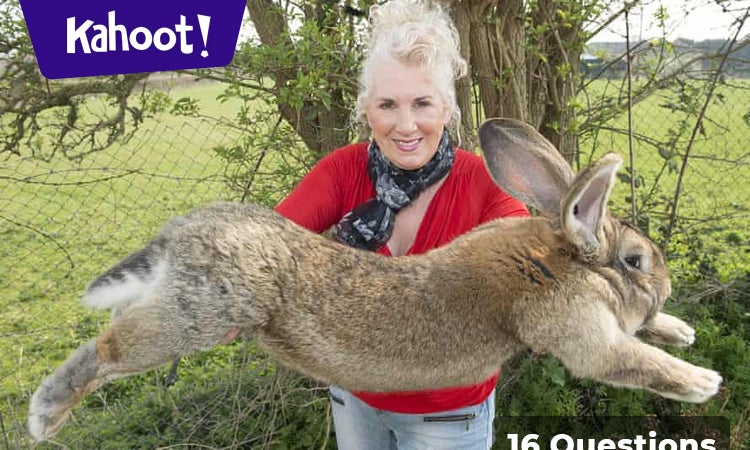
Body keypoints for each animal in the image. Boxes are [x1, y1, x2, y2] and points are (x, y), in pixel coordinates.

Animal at [28, 118, 722, 442]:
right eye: (636, 261)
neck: (560, 257)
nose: (664, 287)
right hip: (196, 316)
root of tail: (180, 234)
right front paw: (702, 381)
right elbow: (626, 359)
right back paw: (45, 416)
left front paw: (680, 330)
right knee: (108, 348)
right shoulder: (579, 331)